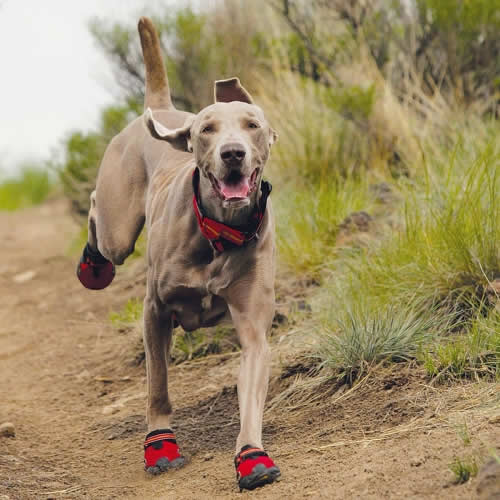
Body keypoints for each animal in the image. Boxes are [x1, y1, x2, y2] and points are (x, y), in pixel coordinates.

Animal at [77, 17, 282, 490]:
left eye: (252, 125)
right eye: (207, 129)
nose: (232, 153)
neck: (218, 233)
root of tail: (163, 108)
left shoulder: (253, 326)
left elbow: (251, 392)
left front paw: (252, 456)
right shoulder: (154, 310)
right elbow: (158, 385)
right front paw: (161, 446)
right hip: (117, 227)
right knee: (99, 216)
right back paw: (92, 265)